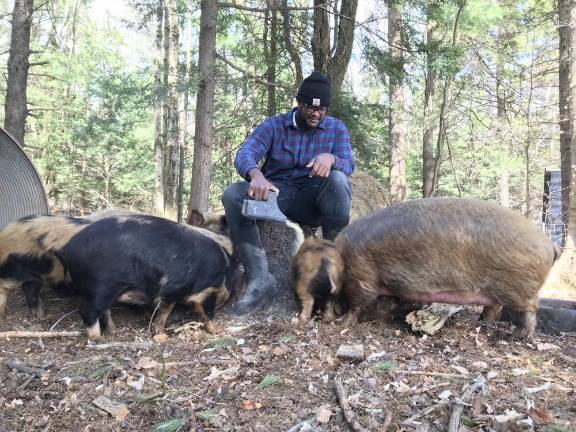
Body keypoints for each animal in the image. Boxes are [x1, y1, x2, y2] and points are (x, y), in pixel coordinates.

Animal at [56, 214, 241, 340]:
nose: (225, 302)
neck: (225, 269)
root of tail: (67, 248)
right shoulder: (204, 290)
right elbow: (207, 312)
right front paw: (218, 331)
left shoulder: (171, 292)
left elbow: (165, 312)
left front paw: (161, 335)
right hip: (101, 286)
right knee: (87, 310)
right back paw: (98, 338)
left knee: (104, 310)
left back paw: (114, 331)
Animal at [338, 197, 560, 340]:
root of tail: (549, 243)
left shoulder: (360, 273)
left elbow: (357, 302)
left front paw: (342, 323)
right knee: (493, 308)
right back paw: (480, 323)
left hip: (521, 287)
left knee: (531, 308)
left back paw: (521, 336)